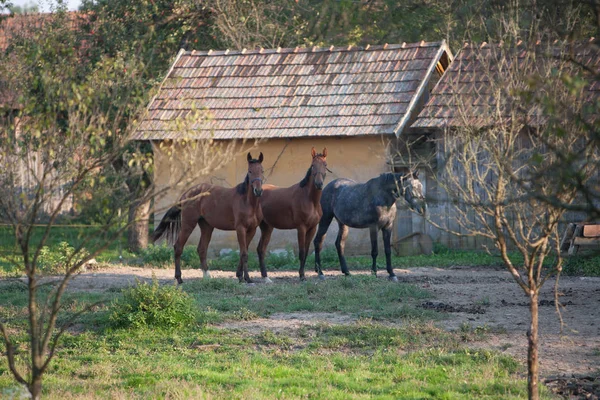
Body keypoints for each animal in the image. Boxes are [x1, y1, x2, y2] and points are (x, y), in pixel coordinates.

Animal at [151, 151, 264, 284]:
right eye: (250, 171)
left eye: (262, 170)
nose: (258, 191)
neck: (247, 202)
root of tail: (185, 195)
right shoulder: (240, 229)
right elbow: (244, 254)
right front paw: (246, 278)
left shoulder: (252, 230)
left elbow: (243, 252)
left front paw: (240, 275)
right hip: (188, 224)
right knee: (178, 247)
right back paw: (179, 278)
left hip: (207, 226)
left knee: (201, 249)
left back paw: (206, 276)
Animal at [254, 147, 326, 282]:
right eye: (313, 165)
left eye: (325, 165)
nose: (318, 184)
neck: (309, 198)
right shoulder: (301, 228)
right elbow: (302, 252)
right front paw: (302, 276)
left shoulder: (312, 228)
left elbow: (306, 251)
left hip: (267, 227)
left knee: (261, 249)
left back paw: (265, 276)